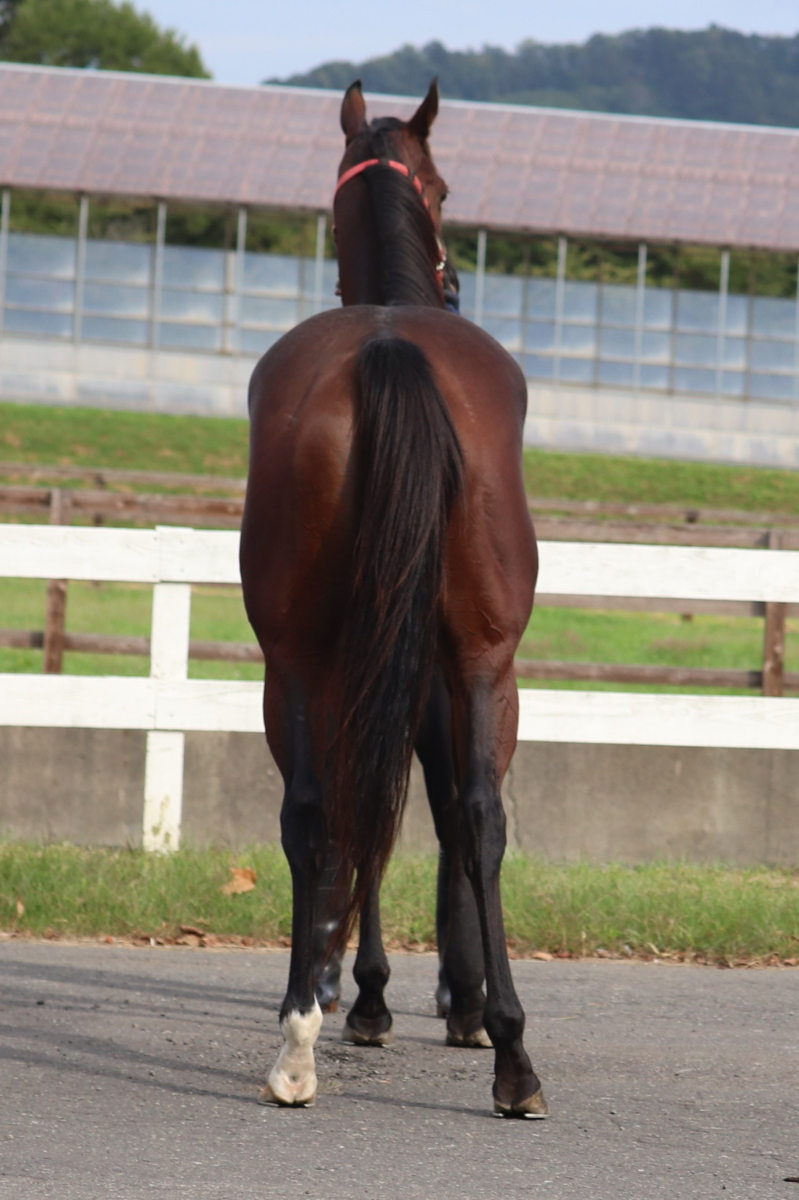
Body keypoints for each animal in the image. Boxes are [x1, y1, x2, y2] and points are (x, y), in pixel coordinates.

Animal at [239, 78, 546, 1118]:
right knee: (469, 814)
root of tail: (389, 346)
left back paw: (303, 1037)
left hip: (301, 660)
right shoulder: (441, 671)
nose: (454, 282)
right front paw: (431, 996)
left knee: (321, 809)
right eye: (444, 185)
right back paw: (506, 1054)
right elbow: (436, 813)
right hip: (476, 661)